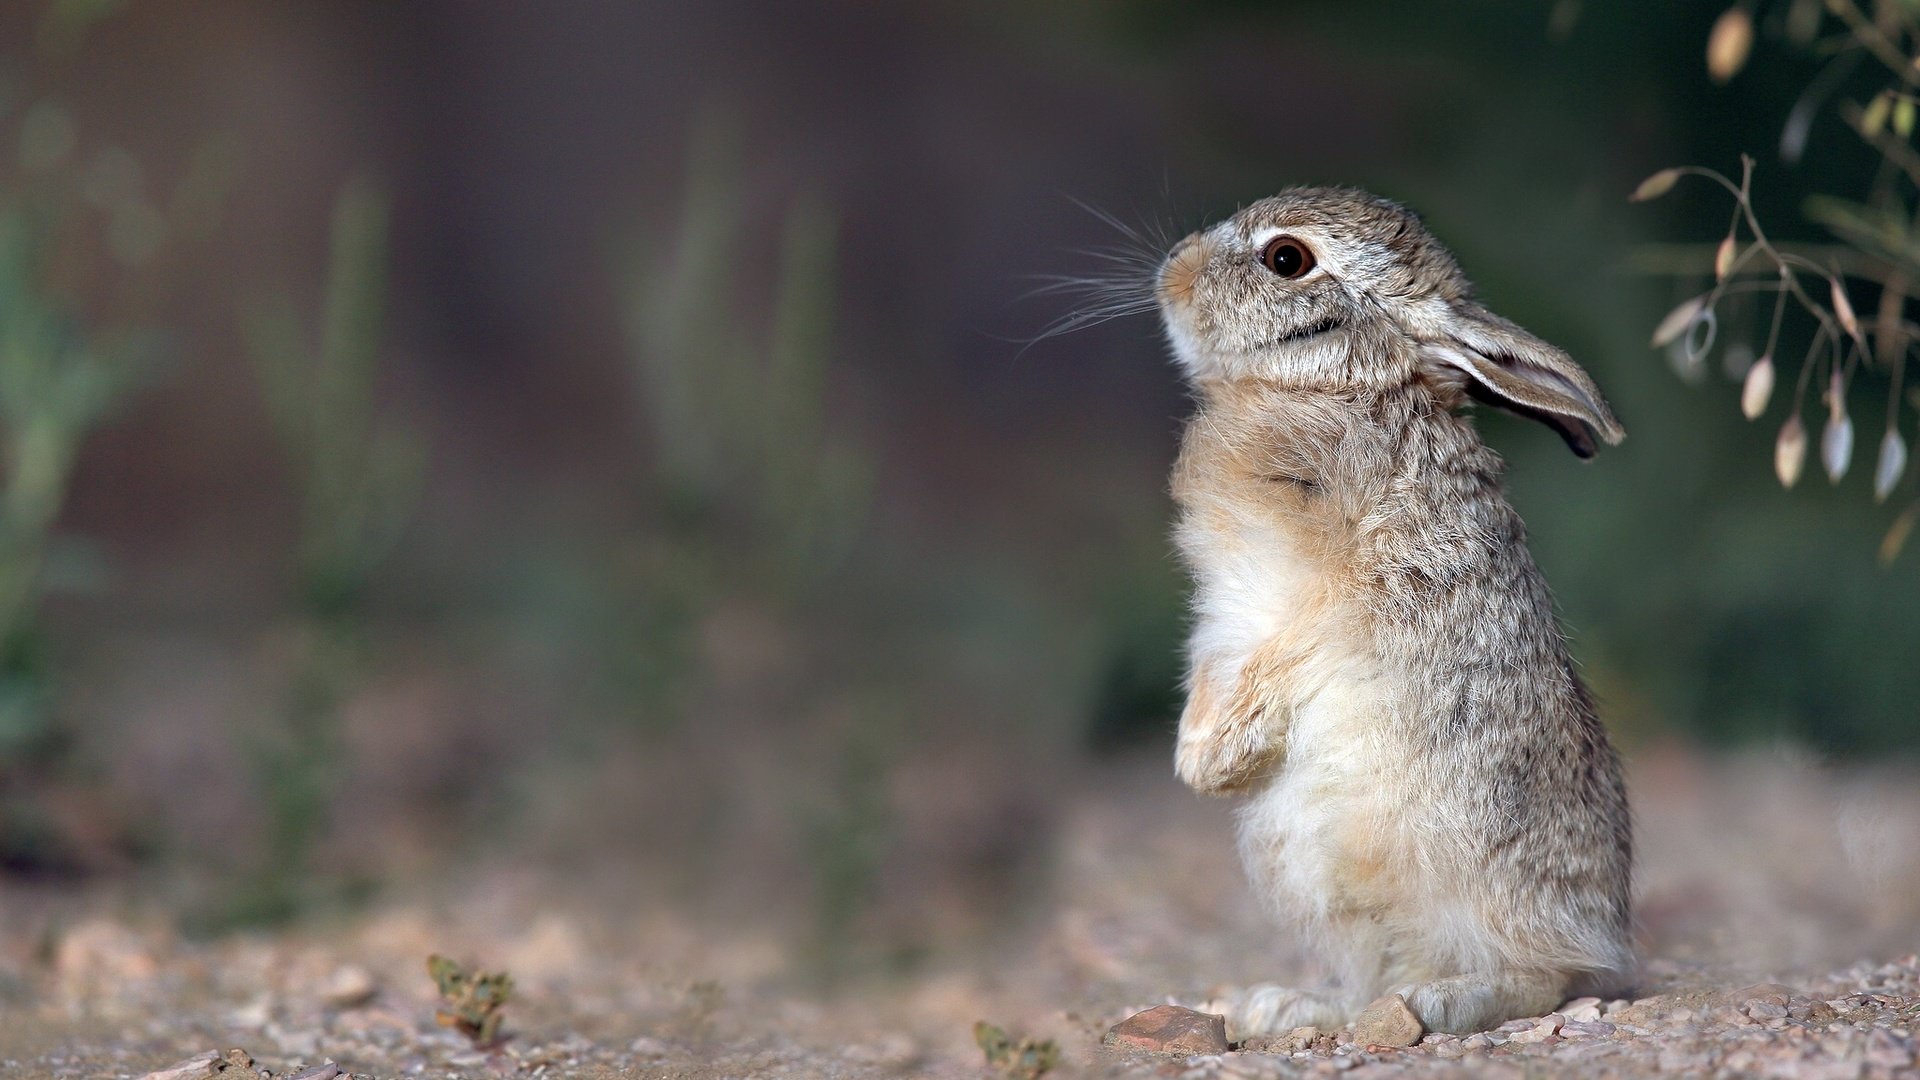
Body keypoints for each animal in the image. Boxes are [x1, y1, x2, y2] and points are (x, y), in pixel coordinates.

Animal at [1152, 184, 1635, 1037]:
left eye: (1287, 258)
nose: (1173, 269)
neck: (1336, 388)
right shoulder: (1224, 620)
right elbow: (1217, 668)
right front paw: (1202, 762)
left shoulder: (1341, 596)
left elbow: (1289, 655)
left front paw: (1211, 762)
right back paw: (1290, 1007)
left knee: (1543, 979)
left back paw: (1439, 1001)